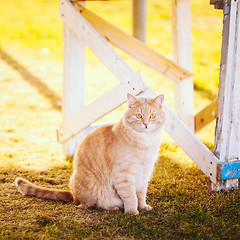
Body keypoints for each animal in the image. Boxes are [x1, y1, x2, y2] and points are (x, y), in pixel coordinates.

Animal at [15, 93, 165, 215]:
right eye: (138, 115)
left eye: (152, 115)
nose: (146, 124)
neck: (145, 144)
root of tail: (74, 197)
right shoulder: (124, 177)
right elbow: (131, 197)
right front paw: (132, 211)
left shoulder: (144, 175)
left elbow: (141, 195)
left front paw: (143, 207)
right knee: (90, 205)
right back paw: (113, 207)